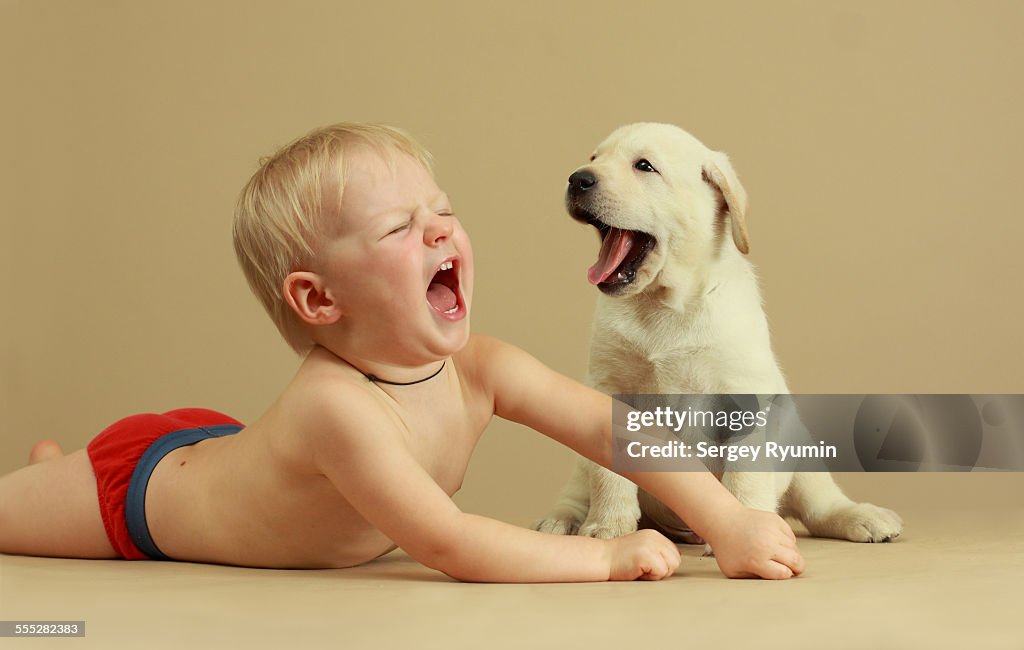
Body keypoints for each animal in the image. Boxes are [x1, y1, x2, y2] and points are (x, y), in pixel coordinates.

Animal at [536, 121, 905, 544]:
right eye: (595, 158)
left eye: (644, 166)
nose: (578, 178)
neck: (662, 305)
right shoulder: (610, 391)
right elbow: (609, 475)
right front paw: (608, 526)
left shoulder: (744, 398)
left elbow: (745, 476)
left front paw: (751, 525)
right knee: (578, 488)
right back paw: (563, 520)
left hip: (800, 447)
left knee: (818, 504)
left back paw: (861, 516)